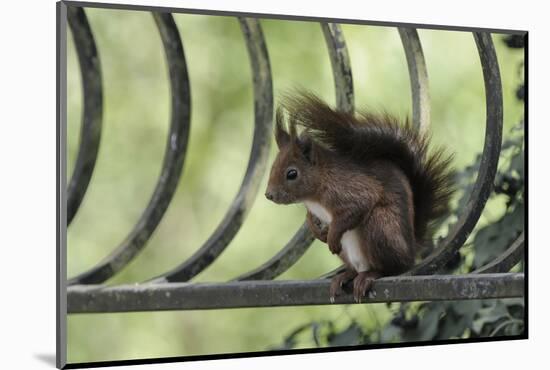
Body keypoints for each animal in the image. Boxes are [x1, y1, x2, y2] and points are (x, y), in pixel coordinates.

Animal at [266, 91, 454, 302]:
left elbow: (357, 206)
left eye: (292, 174)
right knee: (357, 269)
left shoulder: (351, 188)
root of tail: (411, 251)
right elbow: (311, 217)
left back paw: (370, 275)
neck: (314, 194)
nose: (269, 194)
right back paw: (345, 276)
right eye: (272, 167)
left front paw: (331, 235)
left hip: (380, 227)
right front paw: (316, 229)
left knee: (391, 268)